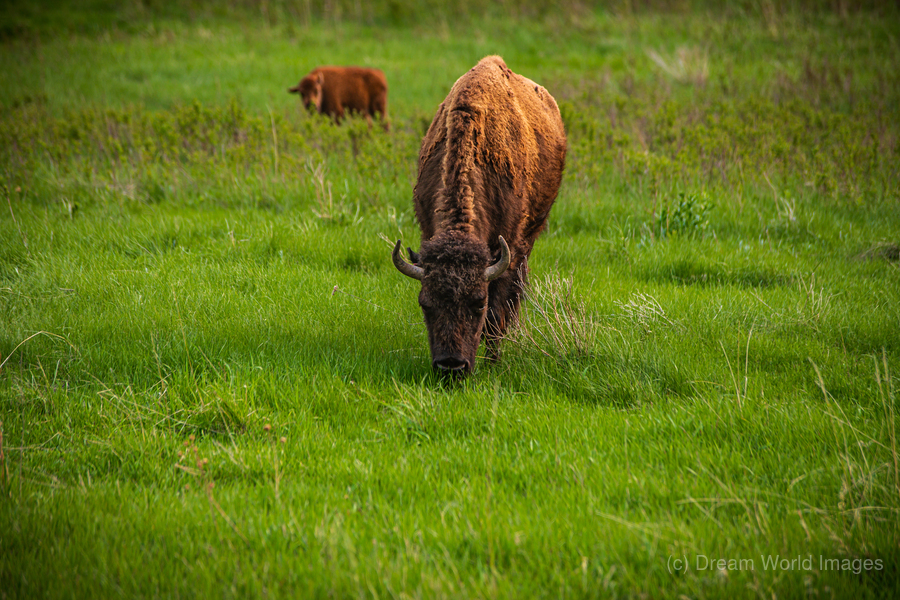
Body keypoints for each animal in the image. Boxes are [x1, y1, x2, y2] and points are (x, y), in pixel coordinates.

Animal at [392, 55, 567, 376]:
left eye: (478, 302)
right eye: (425, 304)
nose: (451, 366)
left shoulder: (507, 251)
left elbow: (497, 316)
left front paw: (493, 362)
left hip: (531, 237)